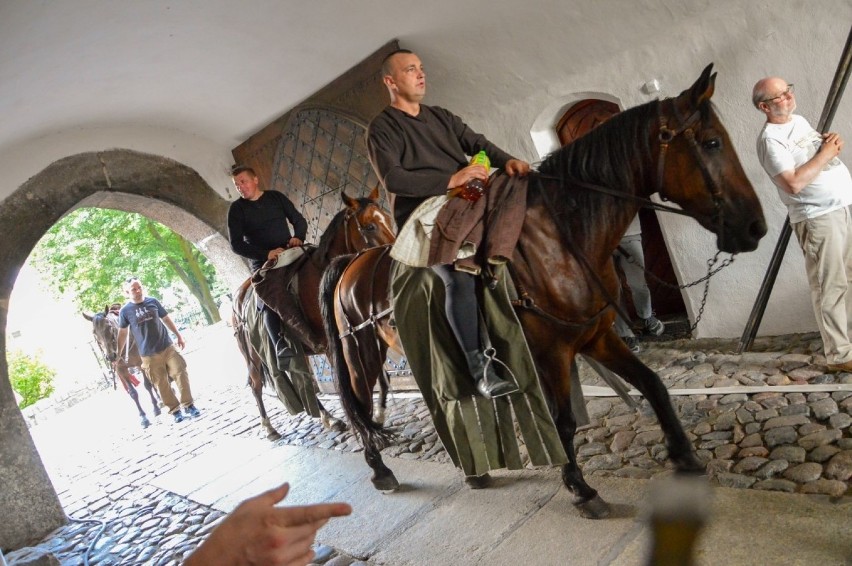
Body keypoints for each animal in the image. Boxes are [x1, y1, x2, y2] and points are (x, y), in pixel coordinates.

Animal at [231, 189, 394, 442]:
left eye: (386, 217)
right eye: (369, 226)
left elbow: (380, 371)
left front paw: (378, 414)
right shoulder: (332, 343)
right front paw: (365, 422)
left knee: (302, 380)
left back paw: (329, 418)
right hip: (253, 357)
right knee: (256, 385)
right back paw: (269, 428)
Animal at [322, 66, 772, 520]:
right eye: (712, 142)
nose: (755, 227)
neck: (560, 238)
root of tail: (350, 264)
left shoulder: (595, 336)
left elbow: (653, 384)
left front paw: (685, 457)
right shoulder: (553, 352)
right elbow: (565, 421)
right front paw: (581, 489)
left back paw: (473, 473)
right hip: (362, 355)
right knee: (359, 404)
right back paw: (381, 471)